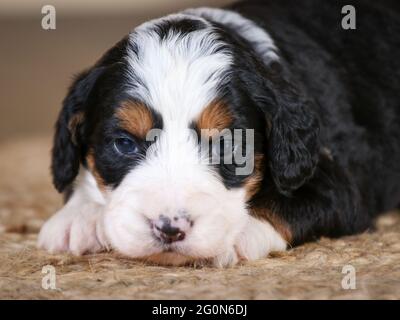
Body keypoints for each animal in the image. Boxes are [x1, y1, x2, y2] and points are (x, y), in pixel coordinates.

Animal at [38, 0, 400, 266]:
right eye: (124, 144)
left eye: (227, 145)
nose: (169, 229)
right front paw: (78, 218)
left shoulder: (342, 184)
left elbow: (284, 203)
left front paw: (235, 233)